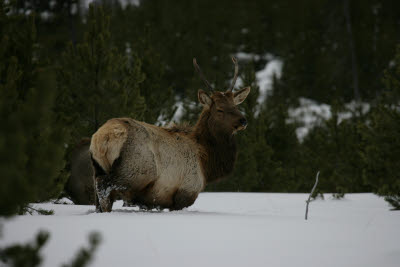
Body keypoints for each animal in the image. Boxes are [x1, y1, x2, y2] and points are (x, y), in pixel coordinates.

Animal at [90, 57, 250, 213]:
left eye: (236, 105)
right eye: (220, 109)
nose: (243, 120)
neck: (206, 161)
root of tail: (102, 138)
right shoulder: (185, 192)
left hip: (98, 168)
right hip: (134, 171)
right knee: (103, 185)